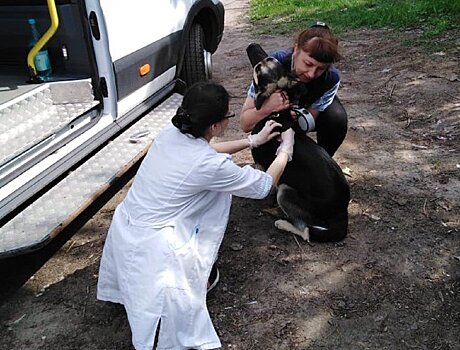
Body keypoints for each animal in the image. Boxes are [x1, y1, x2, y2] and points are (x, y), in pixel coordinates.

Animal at [248, 42, 348, 242]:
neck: (277, 113)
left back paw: (283, 223)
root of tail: (342, 210)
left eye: (260, 67)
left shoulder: (264, 167)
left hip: (286, 192)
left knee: (306, 231)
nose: (251, 45)